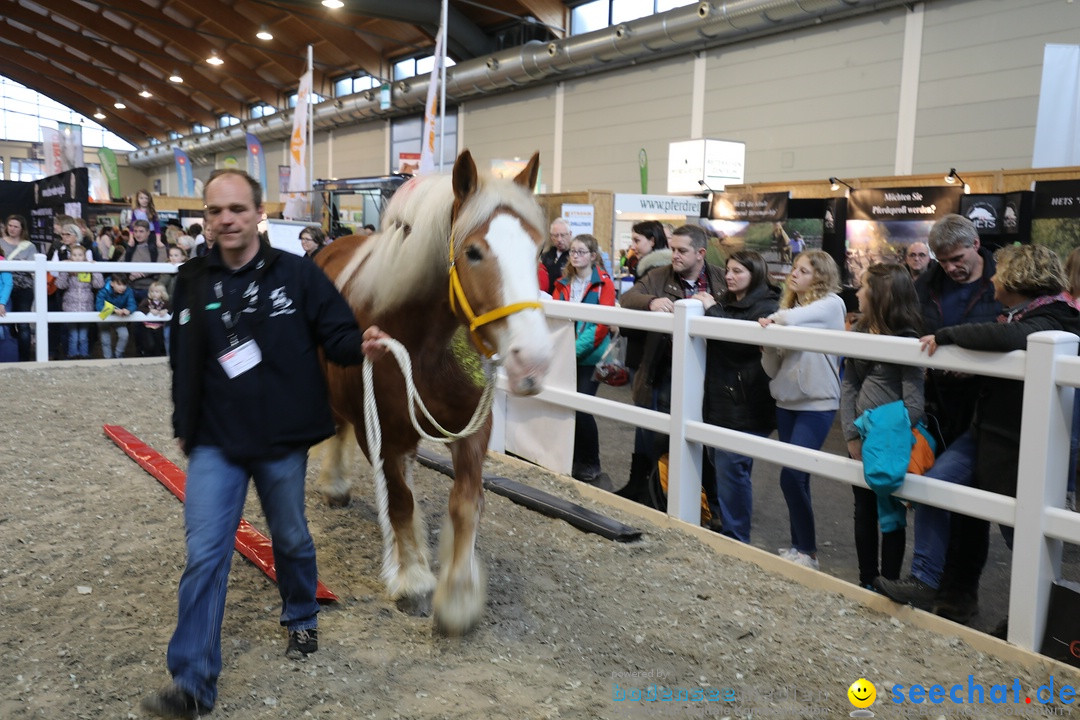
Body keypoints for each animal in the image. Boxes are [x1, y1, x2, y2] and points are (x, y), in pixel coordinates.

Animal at [313, 148, 548, 634]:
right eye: (473, 251)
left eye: (539, 249)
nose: (532, 361)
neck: (424, 346)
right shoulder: (377, 430)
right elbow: (400, 500)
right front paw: (414, 580)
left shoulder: (472, 429)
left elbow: (465, 504)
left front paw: (457, 596)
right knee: (338, 428)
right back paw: (336, 485)